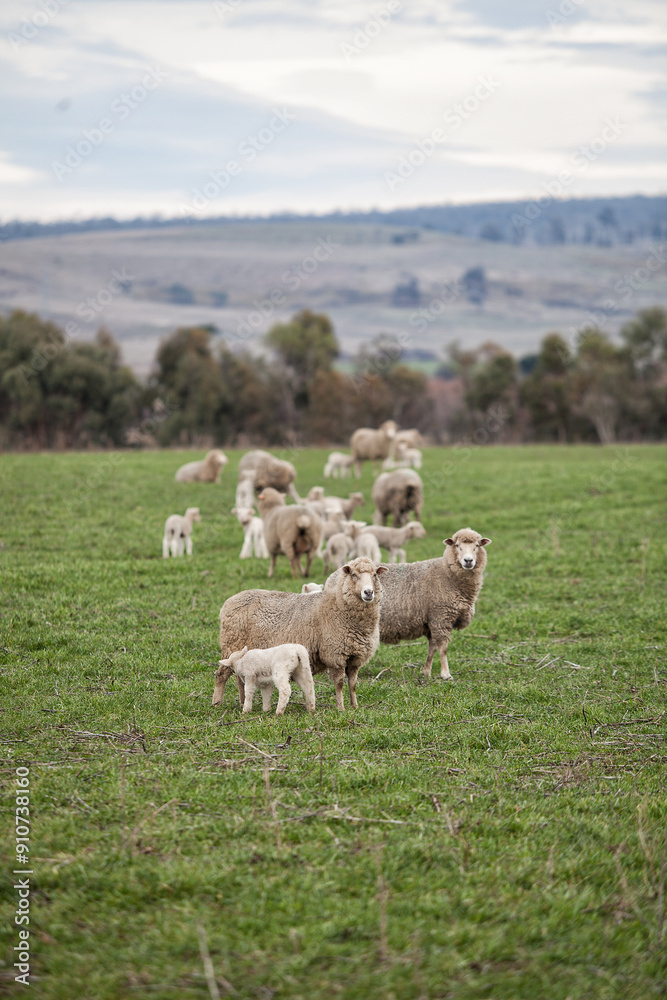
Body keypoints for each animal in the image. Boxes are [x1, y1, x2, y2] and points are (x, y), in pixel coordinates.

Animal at [213, 557, 387, 711]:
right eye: (354, 574)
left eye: (374, 574)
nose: (368, 592)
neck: (338, 605)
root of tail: (228, 602)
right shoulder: (335, 655)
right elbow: (339, 684)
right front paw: (341, 708)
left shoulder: (355, 657)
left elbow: (353, 684)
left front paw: (355, 706)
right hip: (231, 644)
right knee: (221, 674)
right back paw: (217, 703)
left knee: (239, 678)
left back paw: (242, 702)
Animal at [377, 527, 491, 680]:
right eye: (457, 545)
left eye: (477, 545)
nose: (468, 561)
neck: (447, 573)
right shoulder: (441, 616)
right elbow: (443, 648)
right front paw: (446, 674)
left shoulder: (432, 621)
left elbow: (432, 648)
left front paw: (426, 672)